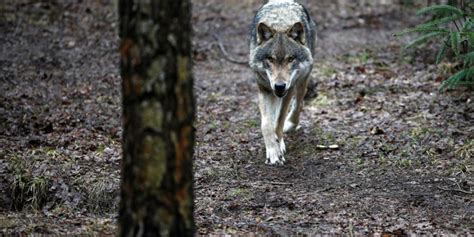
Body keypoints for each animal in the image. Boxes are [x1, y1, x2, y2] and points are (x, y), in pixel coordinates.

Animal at [248, 0, 314, 166]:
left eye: (290, 59)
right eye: (270, 59)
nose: (279, 86)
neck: (280, 24)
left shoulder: (288, 91)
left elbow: (279, 121)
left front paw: (278, 147)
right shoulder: (264, 89)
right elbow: (266, 125)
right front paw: (272, 150)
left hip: (302, 79)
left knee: (299, 102)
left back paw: (291, 124)